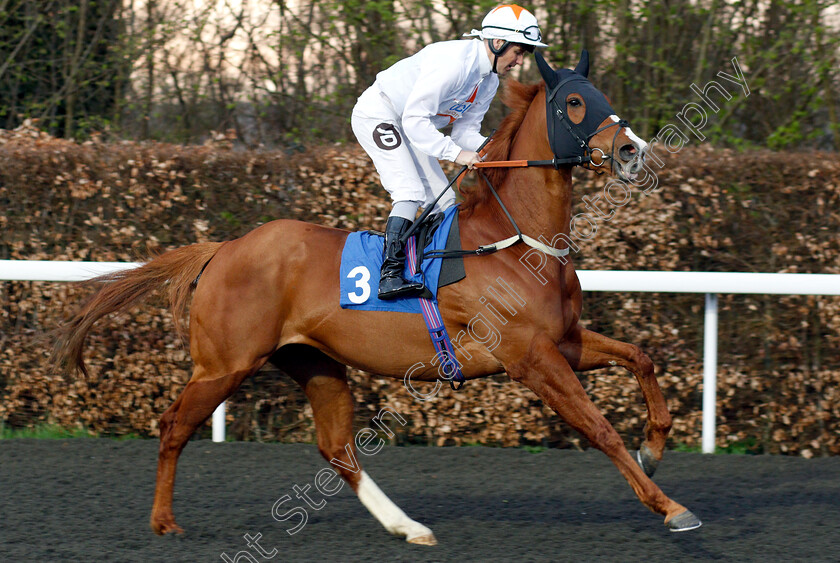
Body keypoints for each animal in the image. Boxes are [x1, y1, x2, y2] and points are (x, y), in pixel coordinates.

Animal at [54, 54, 704, 548]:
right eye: (573, 103)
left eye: (600, 95)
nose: (632, 150)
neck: (515, 239)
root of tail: (226, 247)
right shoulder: (530, 358)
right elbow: (600, 429)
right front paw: (670, 506)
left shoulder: (564, 342)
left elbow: (642, 358)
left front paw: (654, 448)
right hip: (224, 364)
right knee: (172, 426)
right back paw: (164, 522)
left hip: (314, 362)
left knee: (337, 449)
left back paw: (408, 526)